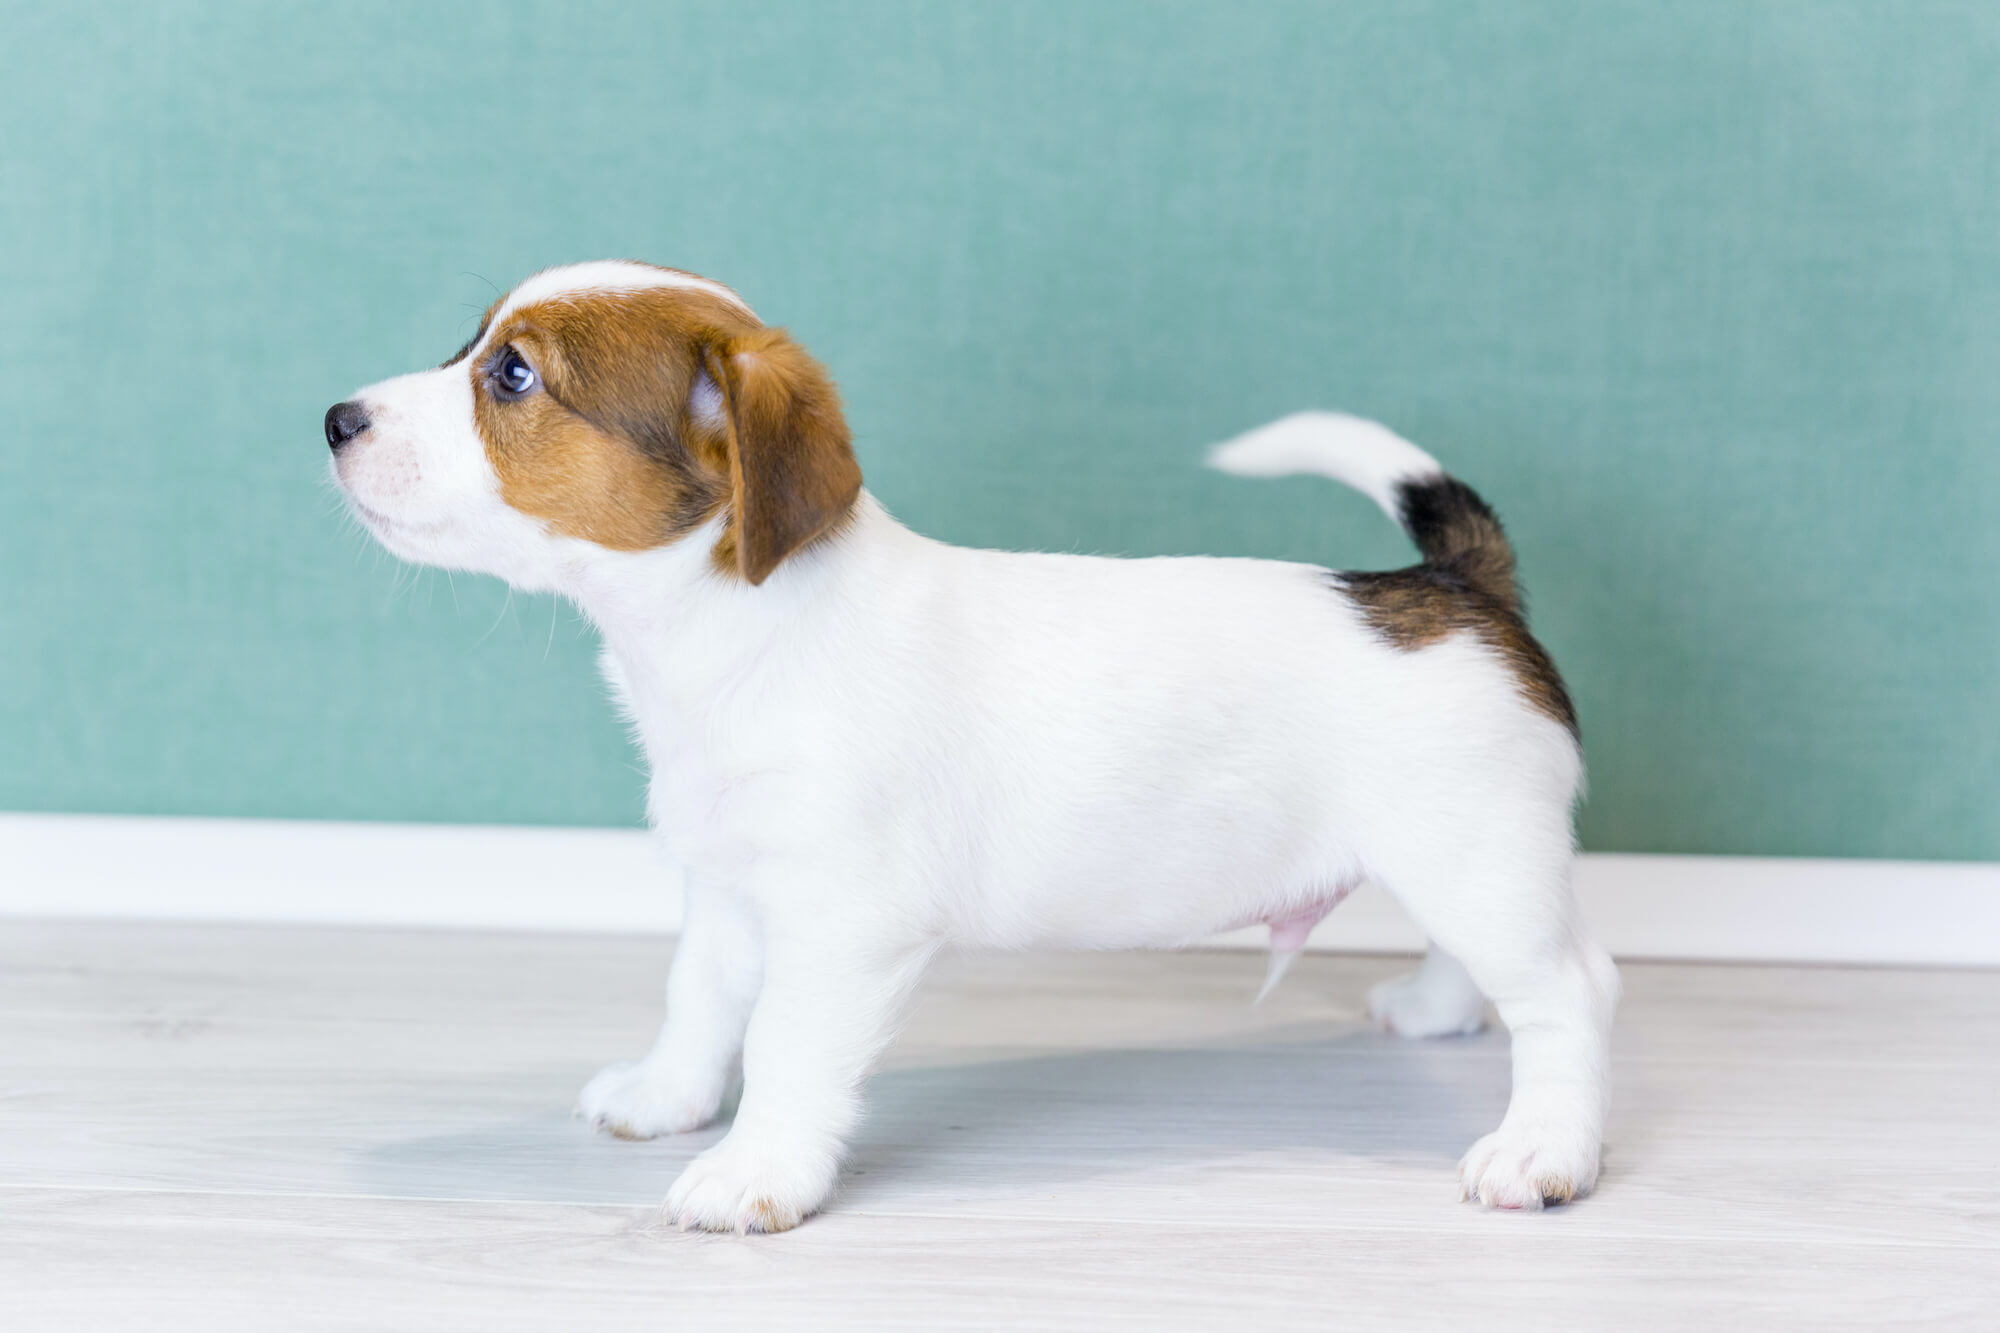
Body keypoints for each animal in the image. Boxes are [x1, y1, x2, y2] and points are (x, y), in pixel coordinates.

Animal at [324, 256, 1608, 1224]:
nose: (334, 418)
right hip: (1457, 861)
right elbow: (697, 999)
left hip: (1472, 858)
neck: (736, 632)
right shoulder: (729, 889)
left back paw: (1543, 1149)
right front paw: (667, 1094)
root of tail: (1453, 585)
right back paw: (1438, 1011)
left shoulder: (840, 929)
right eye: (472, 345)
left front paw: (754, 1172)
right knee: (1487, 967)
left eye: (513, 374)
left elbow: (783, 1048)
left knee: (1567, 992)